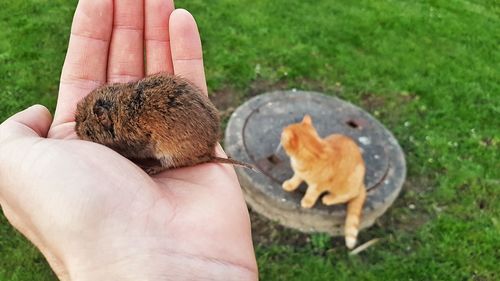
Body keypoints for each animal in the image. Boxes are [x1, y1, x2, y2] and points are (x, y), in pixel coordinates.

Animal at [282, 114, 368, 247]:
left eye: (282, 137)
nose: (280, 136)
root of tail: (361, 182)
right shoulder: (299, 174)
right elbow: (295, 179)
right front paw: (290, 185)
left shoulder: (319, 185)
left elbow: (311, 193)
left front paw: (307, 201)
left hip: (347, 186)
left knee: (348, 196)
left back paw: (329, 198)